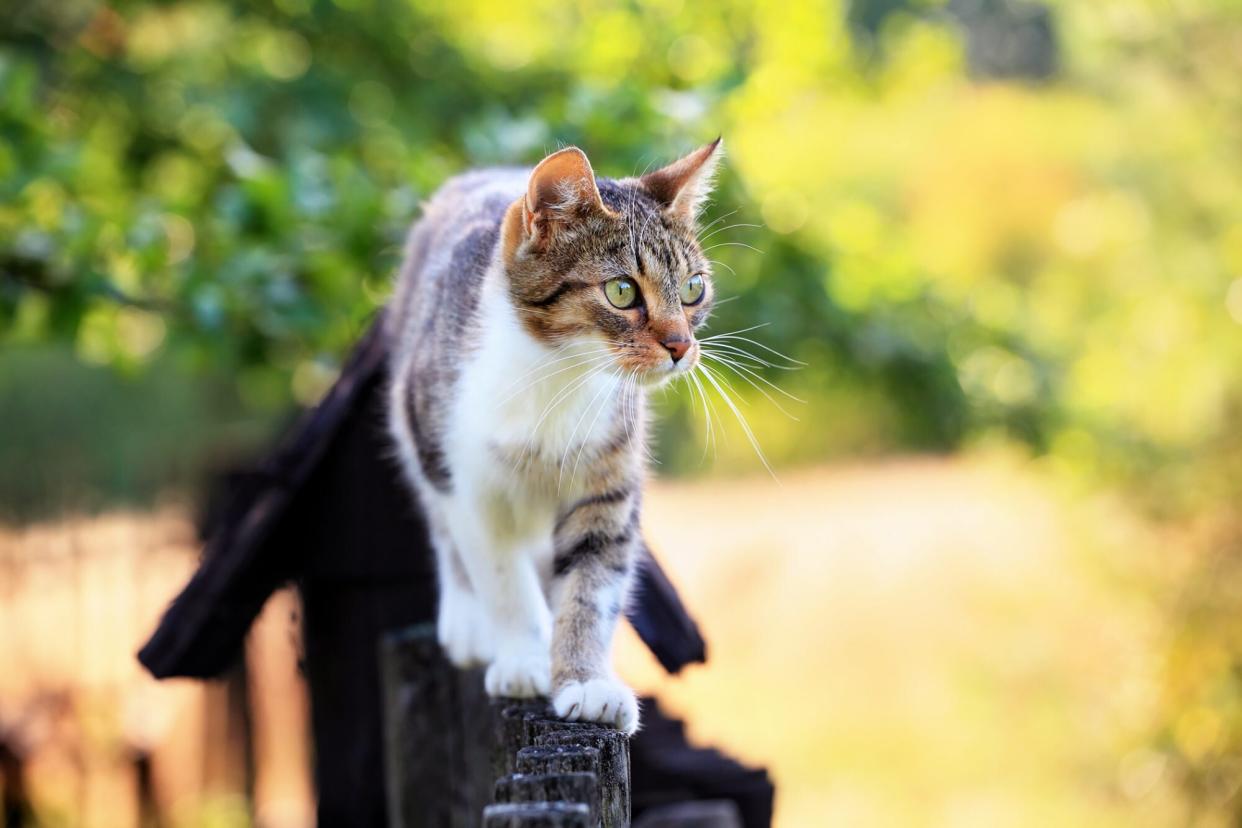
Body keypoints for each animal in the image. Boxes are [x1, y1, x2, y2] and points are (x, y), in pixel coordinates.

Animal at [382, 139, 725, 734]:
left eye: (692, 288)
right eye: (621, 291)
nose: (682, 346)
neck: (560, 377)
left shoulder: (609, 479)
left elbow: (592, 584)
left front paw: (586, 682)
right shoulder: (468, 482)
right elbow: (501, 576)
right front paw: (522, 657)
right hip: (418, 424)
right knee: (444, 529)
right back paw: (468, 623)